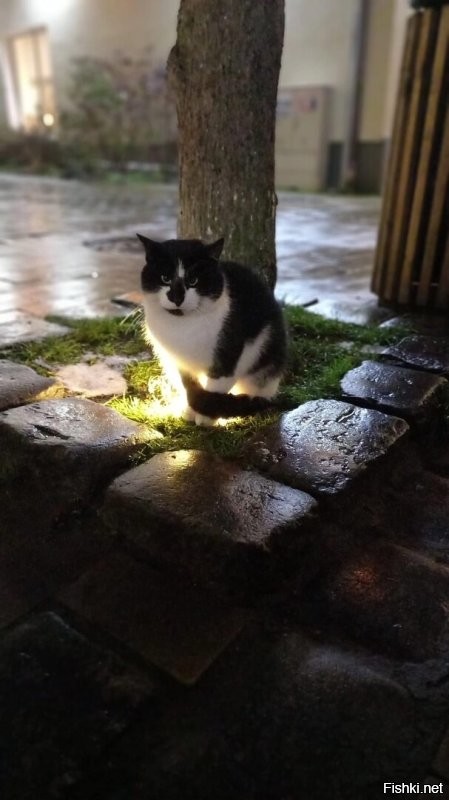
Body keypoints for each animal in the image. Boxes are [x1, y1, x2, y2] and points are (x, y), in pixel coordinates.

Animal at [136, 233, 288, 424]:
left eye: (193, 280)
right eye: (165, 278)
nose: (177, 298)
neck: (183, 327)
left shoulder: (229, 355)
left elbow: (215, 387)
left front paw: (206, 418)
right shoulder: (180, 362)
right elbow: (189, 385)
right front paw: (189, 411)